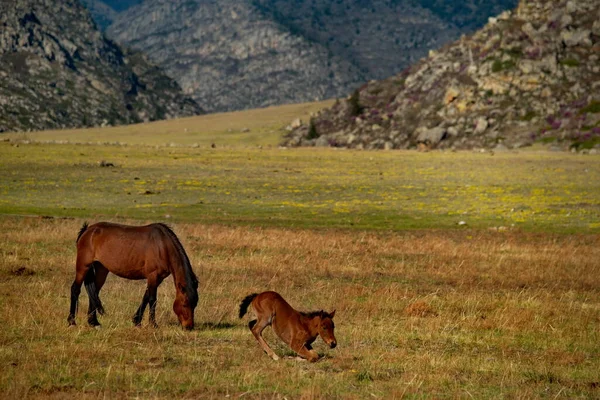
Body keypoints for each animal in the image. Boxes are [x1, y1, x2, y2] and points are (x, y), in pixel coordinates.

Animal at [68, 220, 199, 330]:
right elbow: (152, 299)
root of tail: (88, 230)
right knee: (75, 289)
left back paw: (94, 322)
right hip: (83, 266)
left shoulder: (158, 278)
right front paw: (153, 324)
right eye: (185, 304)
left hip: (101, 269)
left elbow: (145, 297)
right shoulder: (153, 276)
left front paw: (137, 320)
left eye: (195, 304)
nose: (189, 327)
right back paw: (72, 322)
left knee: (94, 292)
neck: (163, 246)